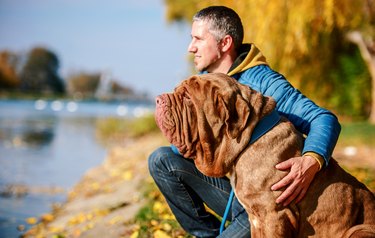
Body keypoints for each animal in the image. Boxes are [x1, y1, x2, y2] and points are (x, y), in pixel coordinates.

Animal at [155, 73, 375, 237]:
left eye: (187, 97)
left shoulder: (274, 215)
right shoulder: (256, 219)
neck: (248, 139)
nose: (158, 99)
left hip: (359, 230)